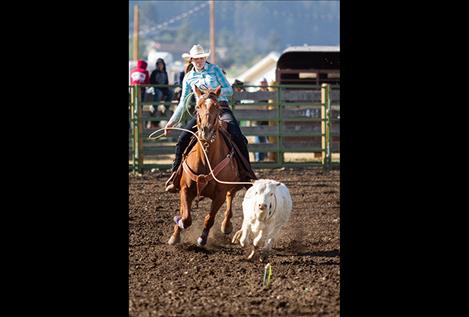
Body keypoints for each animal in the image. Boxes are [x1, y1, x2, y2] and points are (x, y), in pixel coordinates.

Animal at [167, 85, 245, 246]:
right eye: (197, 106)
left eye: (217, 106)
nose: (206, 130)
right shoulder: (185, 189)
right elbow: (185, 217)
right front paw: (176, 233)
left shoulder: (220, 194)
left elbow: (209, 218)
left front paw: (202, 239)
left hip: (233, 184)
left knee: (230, 197)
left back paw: (226, 226)